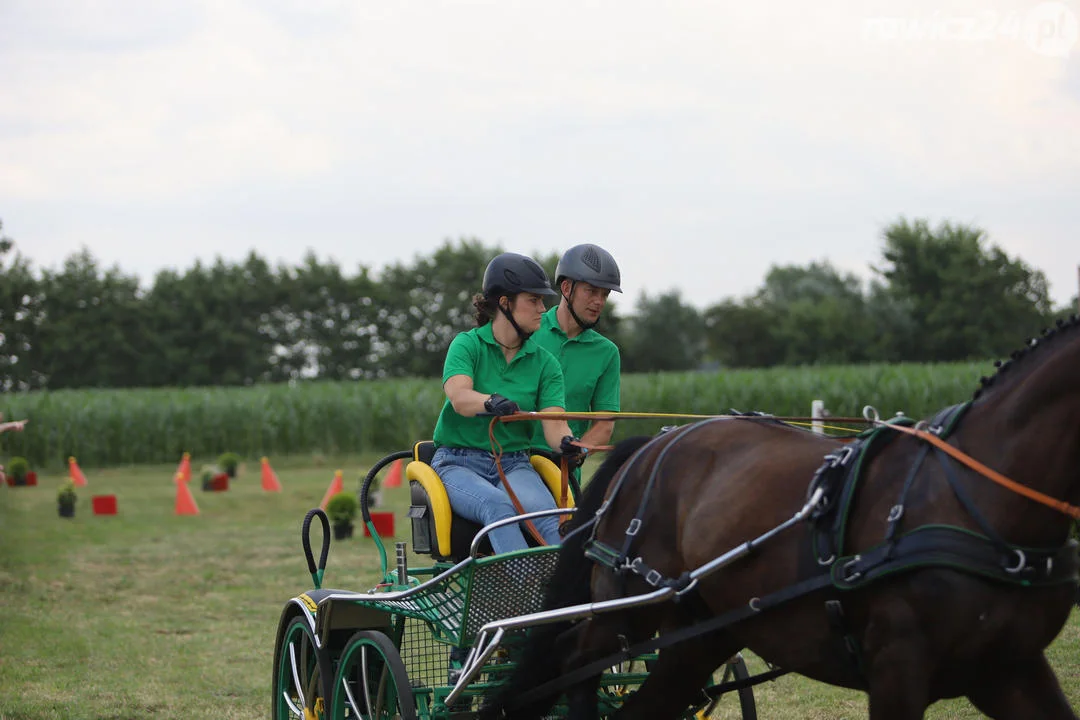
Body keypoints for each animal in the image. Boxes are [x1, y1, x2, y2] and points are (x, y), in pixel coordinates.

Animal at [486, 321, 1080, 720]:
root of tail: (651, 445)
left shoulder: (1010, 668)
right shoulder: (898, 667)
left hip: (698, 635)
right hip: (627, 609)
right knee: (572, 658)